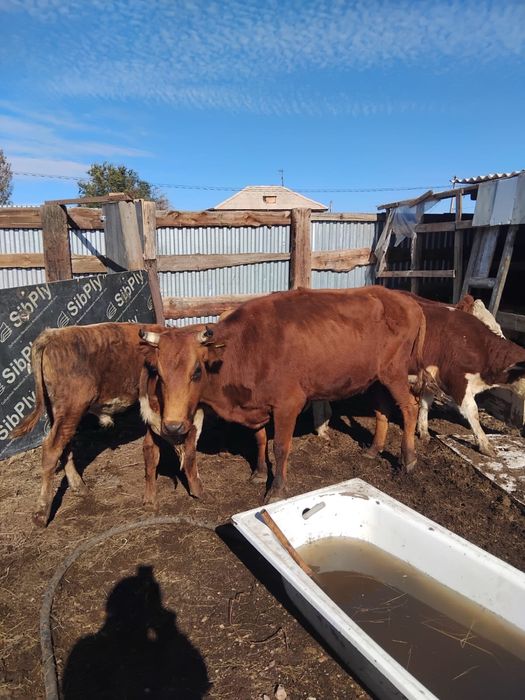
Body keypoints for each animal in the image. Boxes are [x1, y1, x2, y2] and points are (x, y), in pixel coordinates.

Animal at [12, 322, 166, 527]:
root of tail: (53, 334)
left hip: (61, 414)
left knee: (65, 447)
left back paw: (79, 487)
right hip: (72, 407)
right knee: (52, 449)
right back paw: (42, 511)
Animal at [139, 286, 428, 502]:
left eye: (197, 371)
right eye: (159, 373)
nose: (173, 426)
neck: (248, 347)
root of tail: (405, 300)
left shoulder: (288, 405)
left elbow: (280, 447)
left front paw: (276, 490)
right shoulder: (255, 404)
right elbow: (259, 439)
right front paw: (259, 472)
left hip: (395, 373)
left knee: (410, 408)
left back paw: (409, 460)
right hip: (378, 378)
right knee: (383, 410)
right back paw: (374, 449)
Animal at [364, 296, 525, 460]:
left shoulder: (430, 376)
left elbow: (425, 403)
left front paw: (423, 431)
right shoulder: (457, 382)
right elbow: (473, 411)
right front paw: (485, 445)